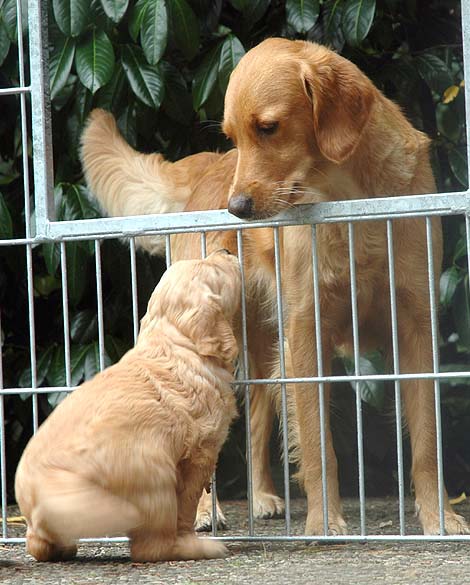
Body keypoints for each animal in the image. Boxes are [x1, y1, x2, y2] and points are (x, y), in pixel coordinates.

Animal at [13, 251, 242, 560]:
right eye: (216, 270)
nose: (226, 252)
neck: (175, 343)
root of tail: (39, 497)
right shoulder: (200, 453)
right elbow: (188, 505)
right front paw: (192, 533)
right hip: (154, 471)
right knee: (150, 546)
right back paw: (198, 548)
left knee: (37, 544)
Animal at [81, 38, 466, 536]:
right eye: (234, 136)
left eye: (268, 128)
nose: (237, 208)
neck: (350, 198)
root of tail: (209, 168)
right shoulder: (305, 331)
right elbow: (320, 445)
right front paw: (325, 524)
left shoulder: (417, 324)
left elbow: (427, 442)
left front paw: (440, 519)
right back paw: (203, 512)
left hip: (263, 347)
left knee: (257, 422)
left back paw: (261, 496)